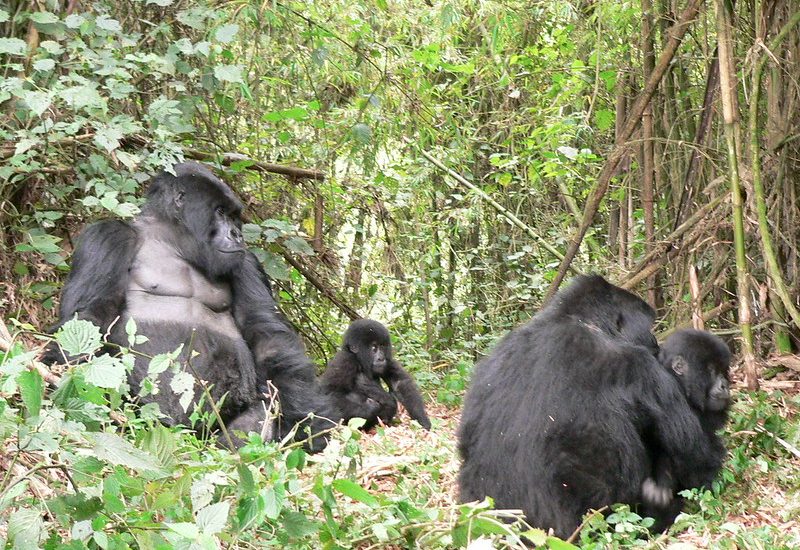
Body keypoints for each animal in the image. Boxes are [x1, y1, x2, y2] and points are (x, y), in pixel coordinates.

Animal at [41, 162, 334, 450]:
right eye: (220, 212)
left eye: (234, 217)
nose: (237, 234)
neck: (172, 242)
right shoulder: (108, 236)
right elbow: (88, 317)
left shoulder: (246, 262)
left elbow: (266, 333)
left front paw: (305, 420)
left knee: (258, 415)